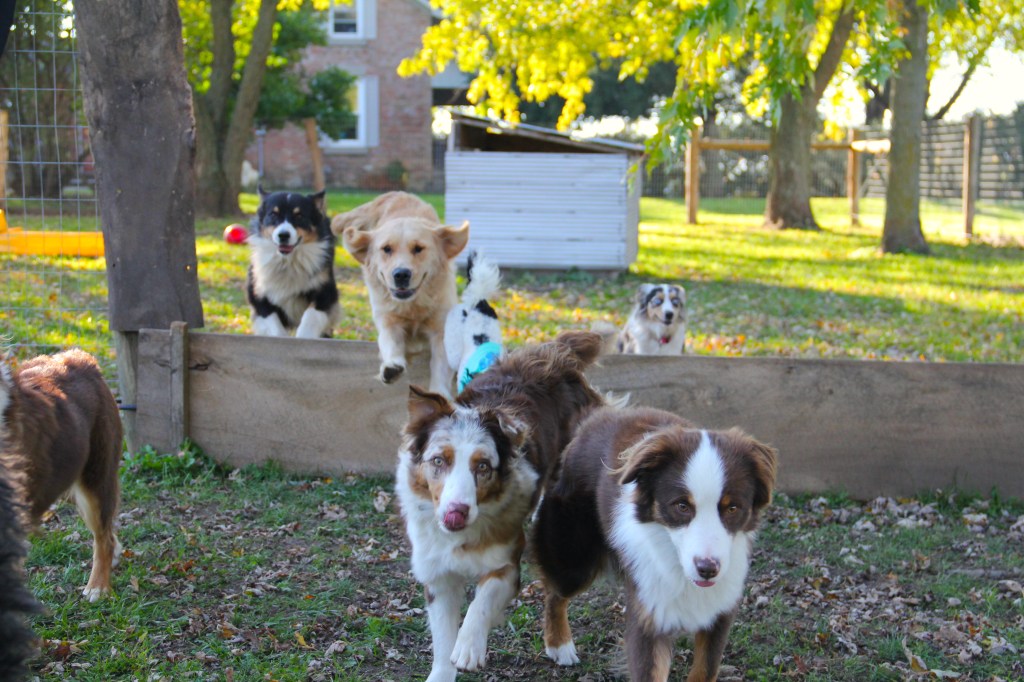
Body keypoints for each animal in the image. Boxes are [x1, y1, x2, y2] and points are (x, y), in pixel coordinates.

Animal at [246, 186, 341, 338]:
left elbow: (311, 316)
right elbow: (274, 325)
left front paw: (304, 336)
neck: (288, 261)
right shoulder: (257, 294)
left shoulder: (326, 292)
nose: (283, 235)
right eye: (273, 214)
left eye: (299, 216)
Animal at [333, 191, 469, 396]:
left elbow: (440, 365)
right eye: (387, 249)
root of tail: (395, 194)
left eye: (418, 248)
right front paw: (392, 367)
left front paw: (438, 391)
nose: (401, 274)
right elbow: (391, 342)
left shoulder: (440, 328)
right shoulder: (389, 321)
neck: (413, 306)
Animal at [395, 331, 606, 682]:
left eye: (483, 467)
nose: (456, 513)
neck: (462, 537)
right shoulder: (437, 574)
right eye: (438, 461)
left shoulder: (507, 564)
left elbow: (481, 602)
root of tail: (557, 351)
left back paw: (560, 645)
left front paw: (468, 647)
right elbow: (442, 637)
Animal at [532, 405, 777, 682]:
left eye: (733, 508)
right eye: (682, 506)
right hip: (574, 557)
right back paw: (559, 645)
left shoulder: (720, 611)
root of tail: (599, 414)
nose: (707, 569)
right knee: (555, 593)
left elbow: (706, 667)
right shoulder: (649, 615)